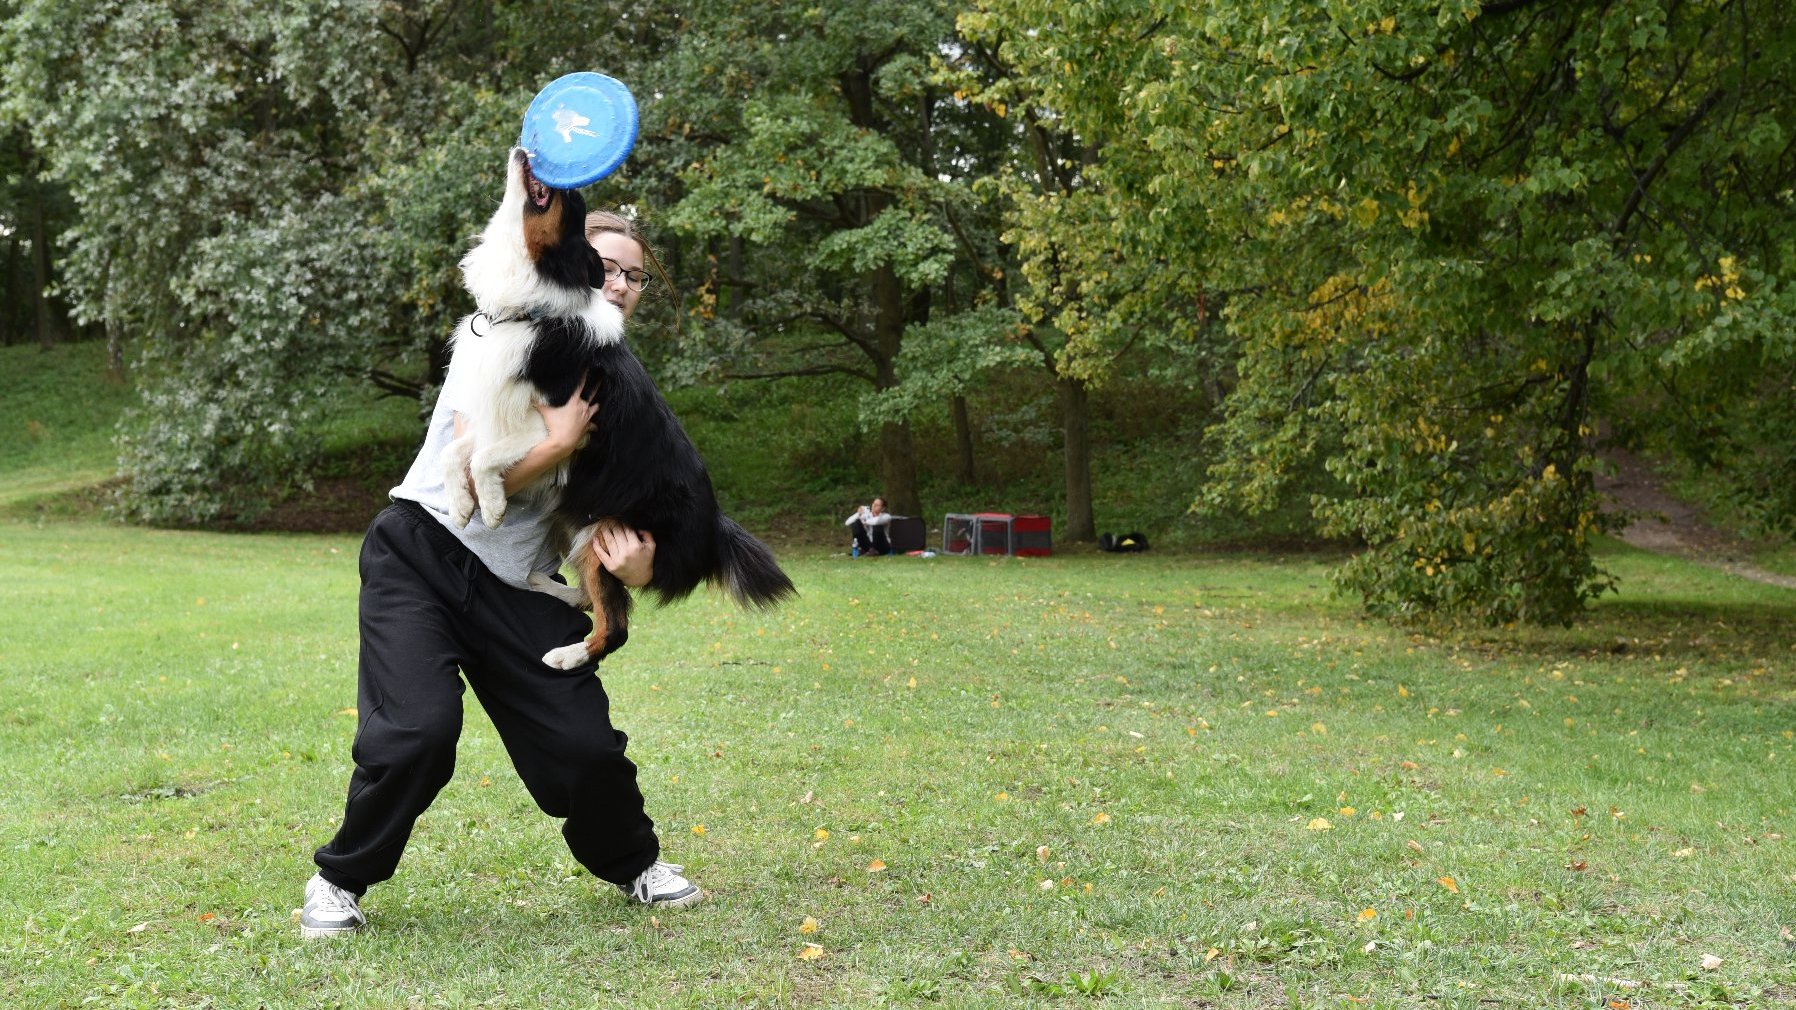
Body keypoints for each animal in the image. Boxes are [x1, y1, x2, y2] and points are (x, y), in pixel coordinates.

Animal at [441, 149, 793, 664]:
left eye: (572, 202)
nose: (544, 158)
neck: (532, 309)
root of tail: (714, 525)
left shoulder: (556, 429)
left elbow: (483, 457)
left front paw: (490, 507)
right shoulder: (495, 413)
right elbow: (456, 452)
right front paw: (462, 505)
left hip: (603, 531)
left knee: (615, 624)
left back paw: (568, 654)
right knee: (593, 599)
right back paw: (544, 584)